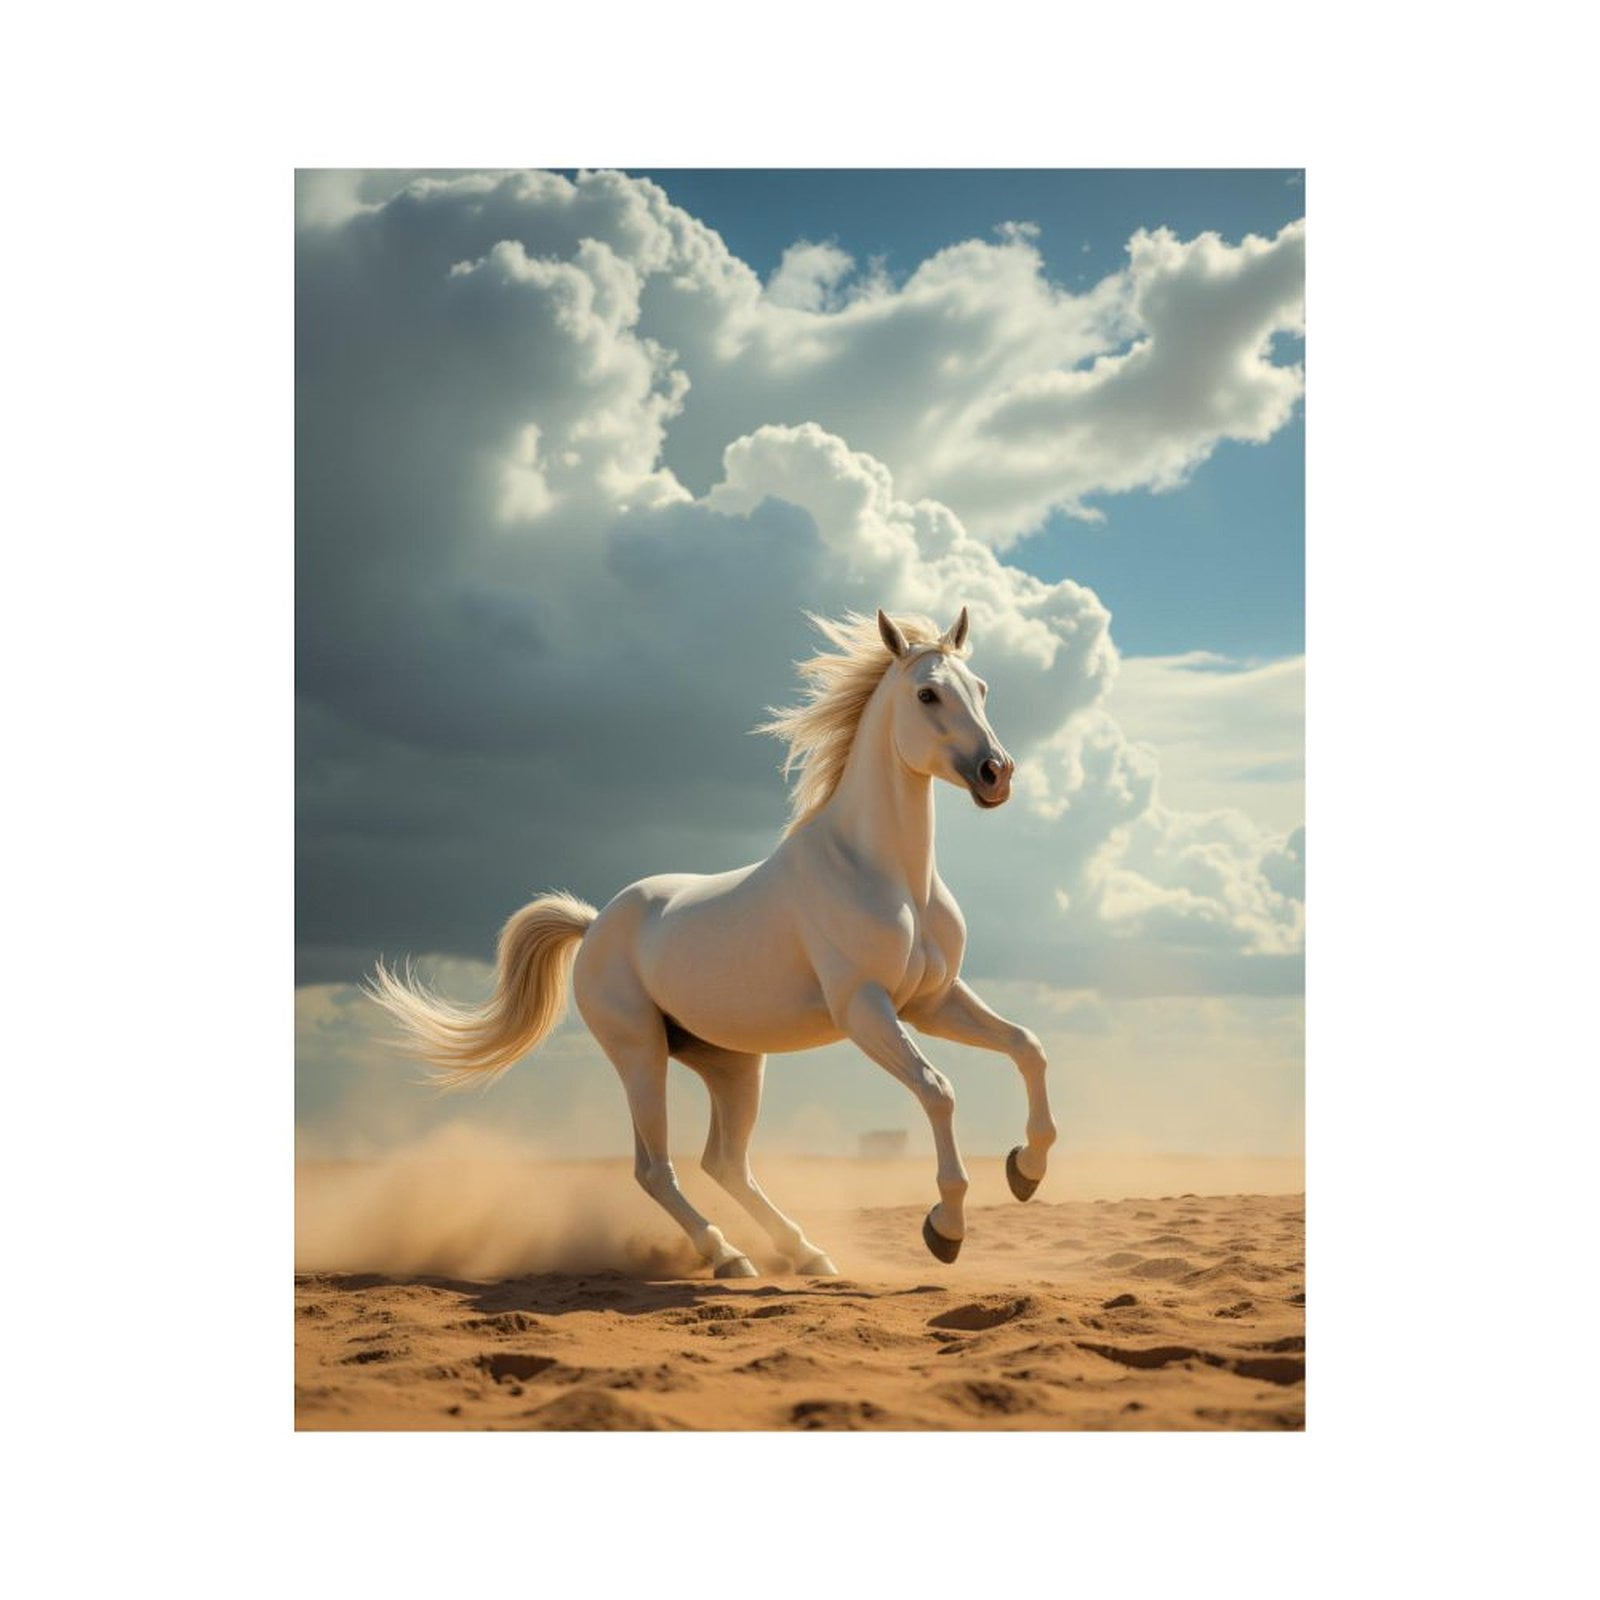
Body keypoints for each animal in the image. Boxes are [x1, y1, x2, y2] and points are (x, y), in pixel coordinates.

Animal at [368, 606, 1058, 1277]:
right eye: (927, 693)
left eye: (982, 688)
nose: (996, 774)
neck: (882, 873)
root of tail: (594, 925)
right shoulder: (864, 1007)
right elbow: (938, 1090)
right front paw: (946, 1230)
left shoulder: (931, 1002)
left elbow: (1027, 1047)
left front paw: (1025, 1170)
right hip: (640, 1054)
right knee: (656, 1167)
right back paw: (728, 1256)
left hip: (732, 1064)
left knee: (724, 1162)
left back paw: (806, 1254)